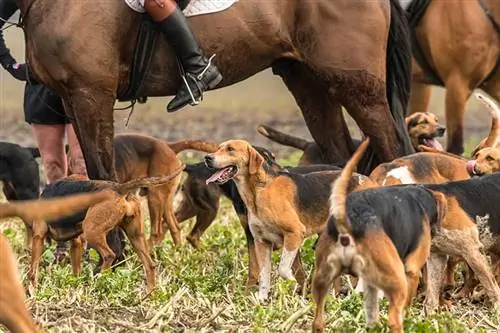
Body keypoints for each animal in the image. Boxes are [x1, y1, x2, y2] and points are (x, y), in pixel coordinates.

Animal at [16, 0, 414, 180]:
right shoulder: (73, 98)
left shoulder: (90, 95)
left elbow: (104, 176)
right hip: (307, 80)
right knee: (339, 156)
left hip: (357, 88)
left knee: (395, 153)